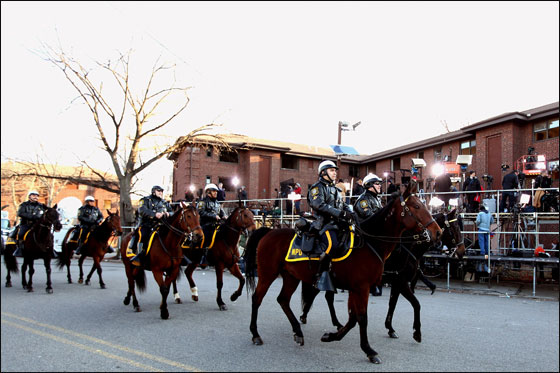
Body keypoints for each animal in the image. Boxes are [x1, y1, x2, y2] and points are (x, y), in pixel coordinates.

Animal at [245, 180, 442, 364]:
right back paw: (256, 334)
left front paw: (332, 336)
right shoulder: (365, 287)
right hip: (267, 273)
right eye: (417, 206)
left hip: (291, 277)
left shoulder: (362, 287)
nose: (437, 232)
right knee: (257, 298)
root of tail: (268, 232)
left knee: (284, 300)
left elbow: (355, 317)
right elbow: (362, 317)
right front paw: (369, 350)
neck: (370, 244)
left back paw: (299, 331)